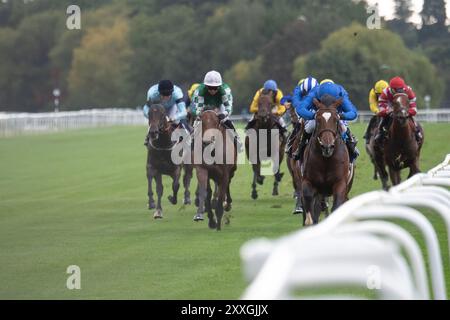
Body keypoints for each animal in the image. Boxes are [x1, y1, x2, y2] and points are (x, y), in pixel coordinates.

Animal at [300, 96, 354, 226]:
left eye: (336, 120)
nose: (327, 147)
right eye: (318, 120)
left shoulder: (340, 184)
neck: (326, 160)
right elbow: (310, 209)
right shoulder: (308, 181)